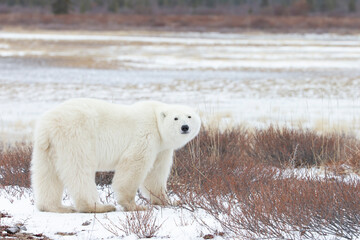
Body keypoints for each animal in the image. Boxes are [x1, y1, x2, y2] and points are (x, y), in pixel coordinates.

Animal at [31, 98, 201, 213]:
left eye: (189, 116)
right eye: (176, 118)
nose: (185, 127)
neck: (156, 120)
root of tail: (48, 126)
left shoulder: (162, 149)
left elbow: (155, 174)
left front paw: (168, 201)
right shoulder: (146, 135)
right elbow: (133, 165)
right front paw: (134, 205)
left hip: (46, 148)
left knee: (47, 174)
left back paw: (55, 207)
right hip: (76, 137)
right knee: (80, 170)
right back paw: (98, 206)